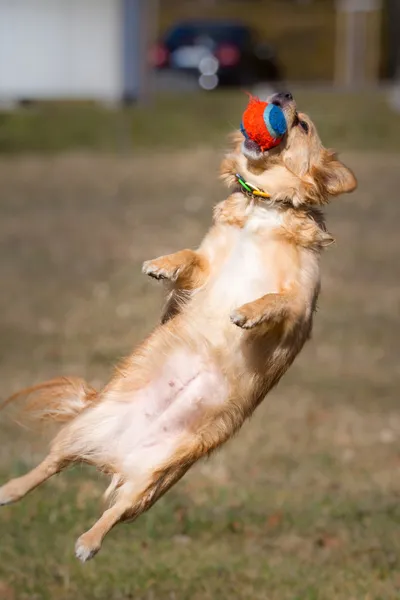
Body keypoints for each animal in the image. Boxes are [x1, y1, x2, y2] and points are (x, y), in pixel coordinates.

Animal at [0, 91, 356, 560]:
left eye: (302, 126)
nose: (282, 95)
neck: (264, 205)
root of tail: (115, 456)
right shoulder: (207, 266)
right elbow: (190, 257)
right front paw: (161, 264)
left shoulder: (299, 307)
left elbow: (274, 301)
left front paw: (247, 312)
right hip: (83, 431)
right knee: (51, 464)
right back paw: (10, 489)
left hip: (155, 479)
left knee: (113, 511)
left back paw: (88, 542)